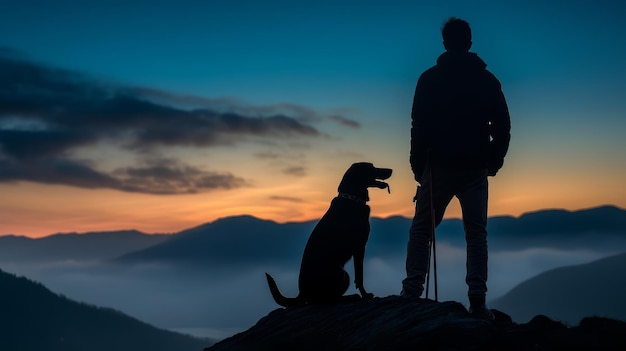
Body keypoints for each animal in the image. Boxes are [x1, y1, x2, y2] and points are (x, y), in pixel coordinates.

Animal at [264, 163, 390, 308]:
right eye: (371, 168)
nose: (390, 170)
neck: (351, 198)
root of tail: (302, 292)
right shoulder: (360, 247)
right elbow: (360, 276)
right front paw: (365, 295)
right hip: (341, 272)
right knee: (326, 299)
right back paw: (351, 297)